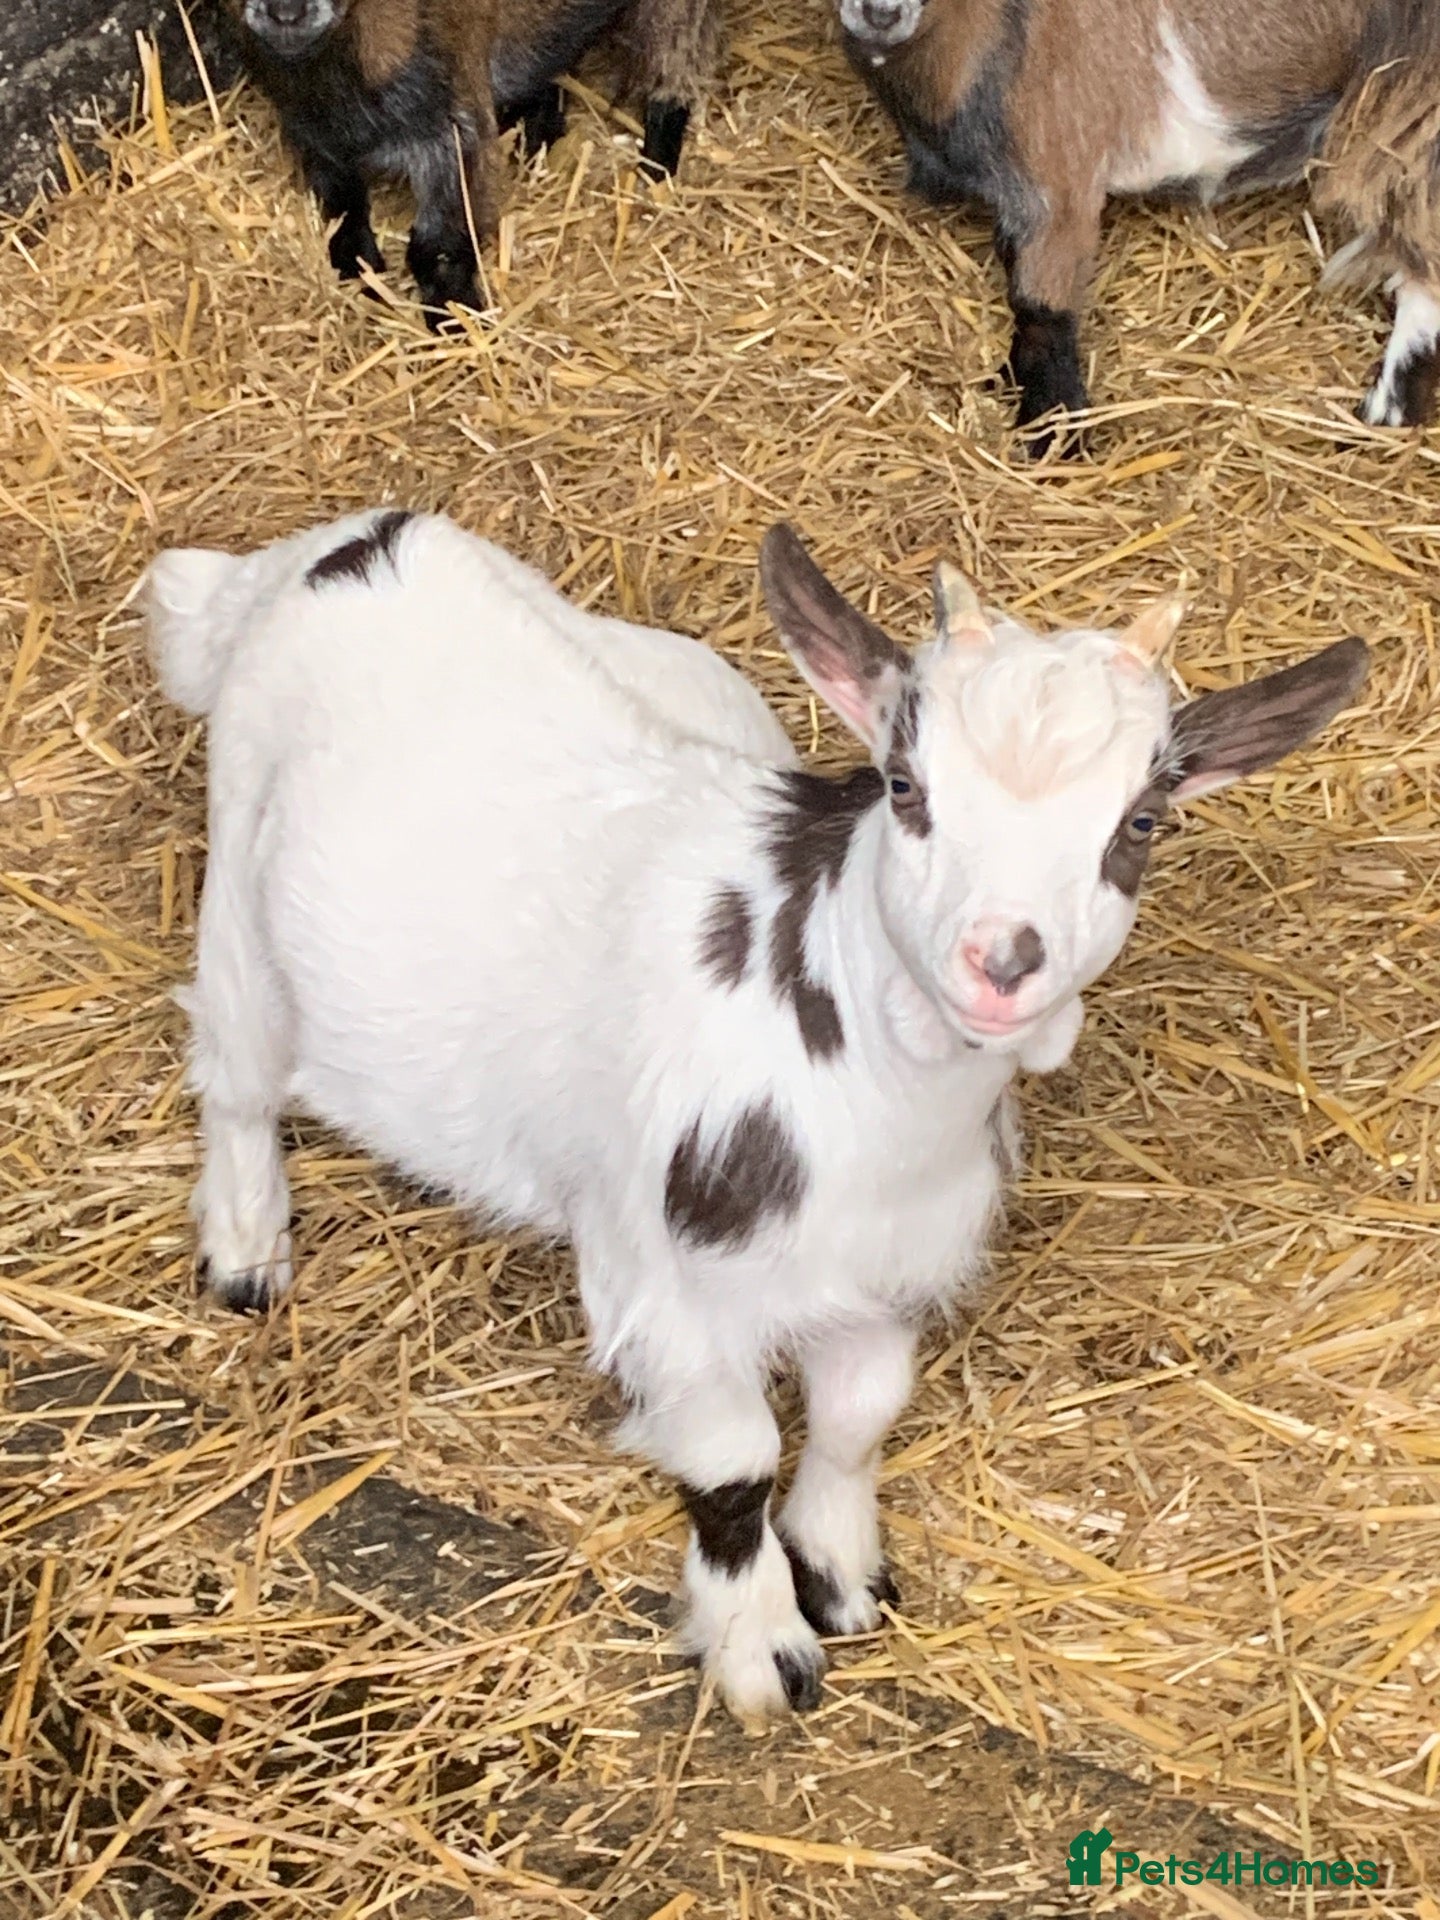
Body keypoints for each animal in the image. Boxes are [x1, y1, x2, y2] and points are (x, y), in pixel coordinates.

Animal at [145, 508, 1366, 1722]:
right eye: (905, 787)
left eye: (1142, 824)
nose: (1004, 961)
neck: (865, 1093)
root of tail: (357, 538)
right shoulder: (661, 1285)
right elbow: (733, 1463)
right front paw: (762, 1647)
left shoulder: (884, 1267)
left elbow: (862, 1415)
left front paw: (840, 1570)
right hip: (241, 896)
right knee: (236, 1071)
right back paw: (247, 1249)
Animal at [222, 0, 716, 323]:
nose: (287, 15)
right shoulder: (316, 140)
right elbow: (342, 218)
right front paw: (364, 279)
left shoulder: (454, 129)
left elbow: (437, 245)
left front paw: (457, 321)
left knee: (675, 57)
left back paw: (656, 170)